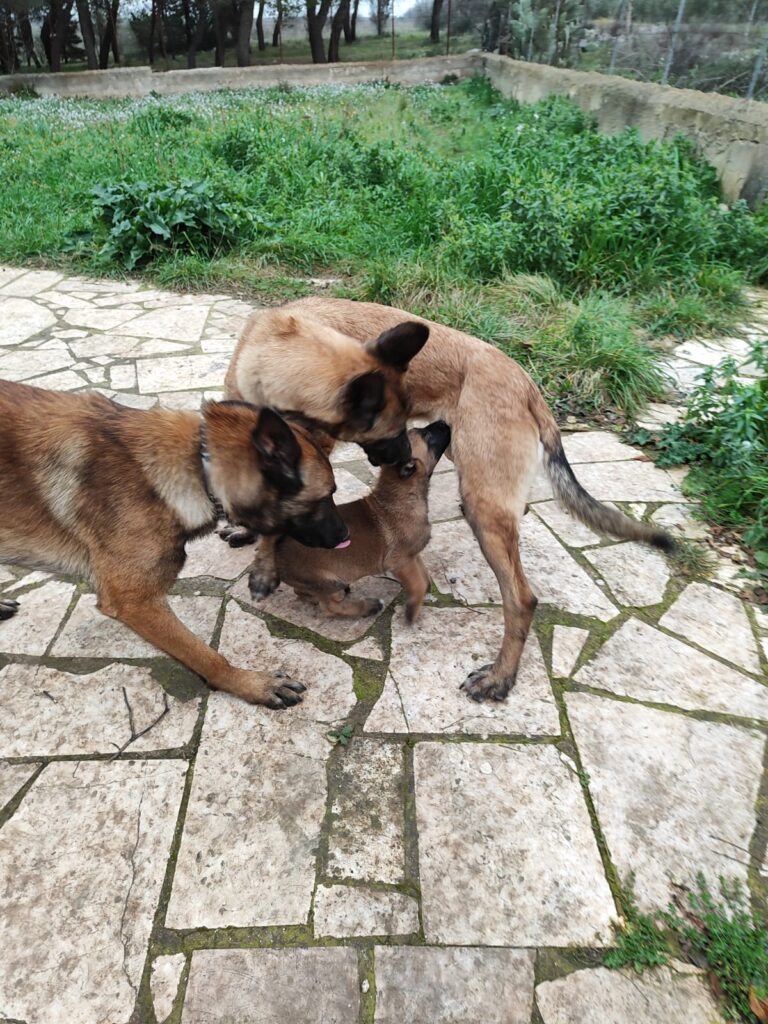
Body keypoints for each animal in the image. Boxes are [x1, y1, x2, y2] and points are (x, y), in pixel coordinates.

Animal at [0, 380, 348, 708]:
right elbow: (205, 655)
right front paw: (251, 684)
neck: (199, 466)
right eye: (325, 496)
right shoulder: (135, 603)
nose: (346, 536)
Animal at [274, 419, 450, 618]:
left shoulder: (412, 555)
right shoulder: (400, 561)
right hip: (328, 581)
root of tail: (276, 551)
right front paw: (413, 610)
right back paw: (369, 606)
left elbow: (423, 574)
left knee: (302, 592)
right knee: (330, 607)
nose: (443, 421)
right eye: (426, 435)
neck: (403, 496)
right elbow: (418, 582)